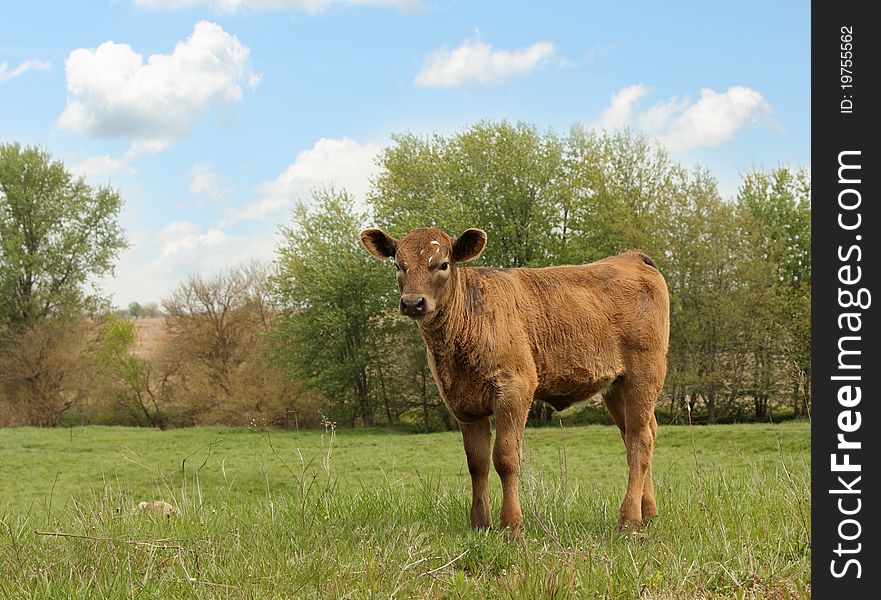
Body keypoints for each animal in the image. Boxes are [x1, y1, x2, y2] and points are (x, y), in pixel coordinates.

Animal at [360, 225, 672, 528]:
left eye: (443, 264)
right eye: (398, 265)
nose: (413, 303)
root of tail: (630, 257)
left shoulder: (514, 389)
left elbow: (505, 458)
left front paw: (511, 525)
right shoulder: (462, 402)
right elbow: (477, 462)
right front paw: (480, 523)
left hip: (643, 376)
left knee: (639, 441)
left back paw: (629, 518)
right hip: (616, 387)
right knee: (638, 433)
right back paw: (648, 512)